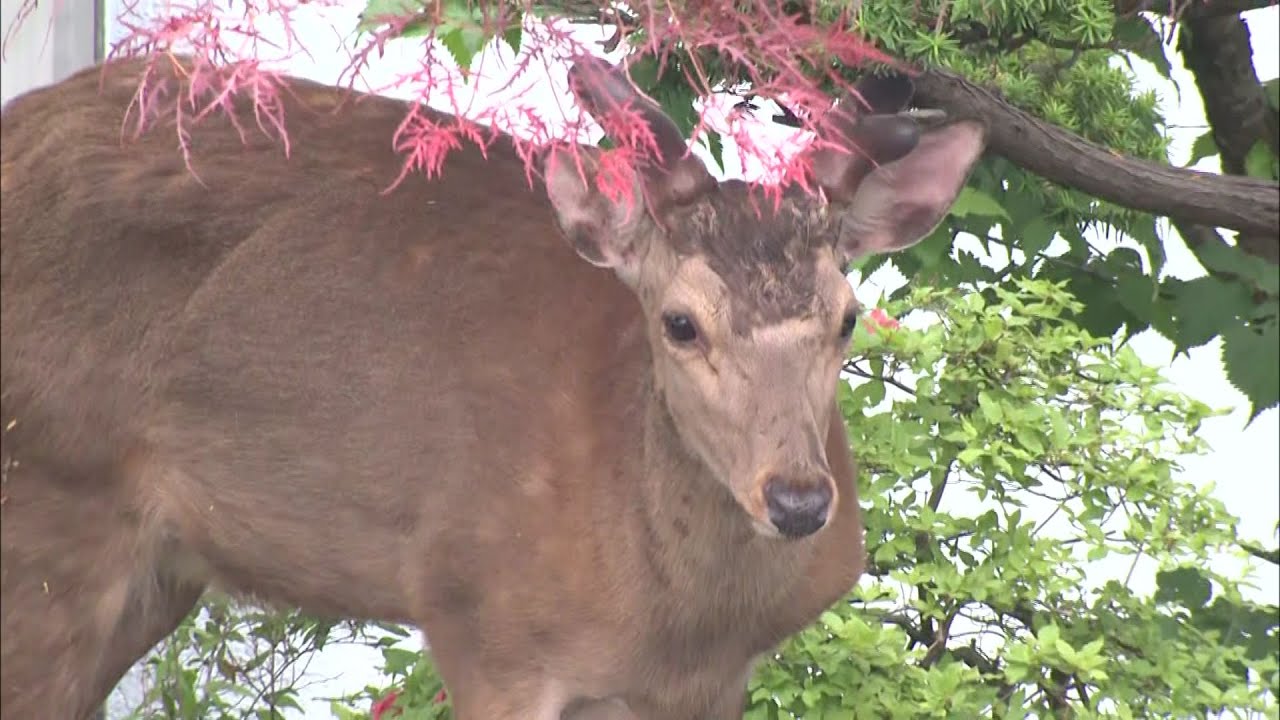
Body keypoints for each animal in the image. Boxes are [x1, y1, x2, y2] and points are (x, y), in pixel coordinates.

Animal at [0, 52, 985, 719]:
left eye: (848, 316)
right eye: (680, 322)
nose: (798, 499)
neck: (666, 617)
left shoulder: (710, 681)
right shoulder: (480, 617)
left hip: (155, 567)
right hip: (46, 501)